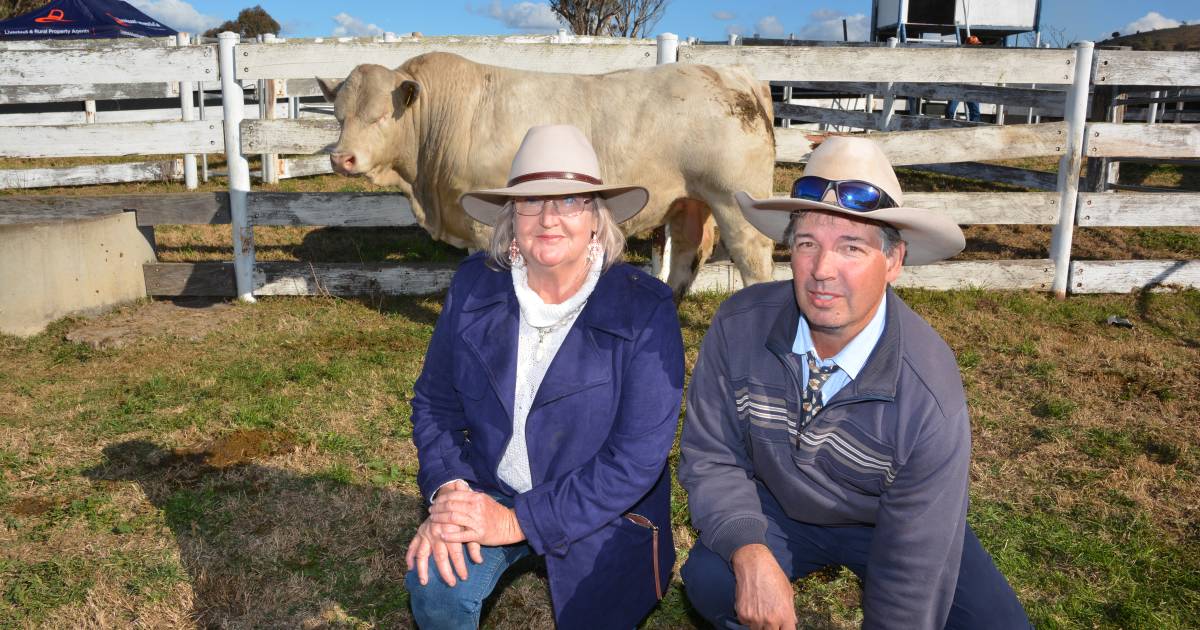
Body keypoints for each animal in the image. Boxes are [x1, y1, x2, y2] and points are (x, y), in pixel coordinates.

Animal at [316, 52, 777, 297]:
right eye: (338, 116)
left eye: (379, 116)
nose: (342, 159)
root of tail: (735, 74)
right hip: (688, 200)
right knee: (686, 253)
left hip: (735, 201)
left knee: (754, 260)